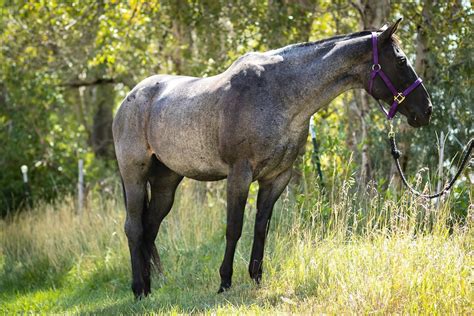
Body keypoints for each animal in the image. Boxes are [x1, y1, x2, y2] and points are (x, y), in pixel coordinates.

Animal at [113, 18, 432, 298]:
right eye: (401, 61)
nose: (426, 110)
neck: (278, 95)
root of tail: (130, 98)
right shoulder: (239, 175)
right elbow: (233, 229)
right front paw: (224, 282)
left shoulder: (277, 178)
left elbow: (261, 228)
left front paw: (256, 278)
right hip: (134, 175)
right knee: (134, 228)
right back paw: (138, 289)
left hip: (166, 181)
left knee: (149, 229)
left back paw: (150, 286)